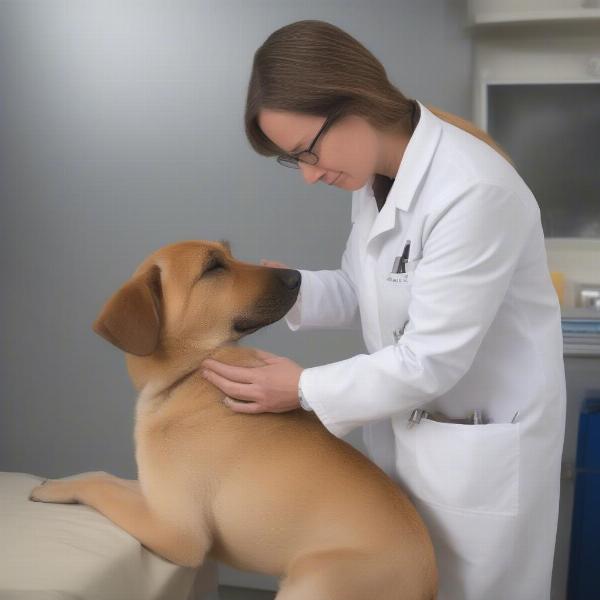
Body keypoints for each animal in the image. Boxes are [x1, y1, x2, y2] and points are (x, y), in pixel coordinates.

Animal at [29, 240, 436, 600]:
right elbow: (107, 478)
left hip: (310, 585)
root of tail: (428, 582)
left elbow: (101, 486)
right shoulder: (153, 496)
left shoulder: (176, 532)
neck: (188, 376)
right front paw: (59, 481)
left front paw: (52, 490)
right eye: (213, 267)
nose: (295, 276)